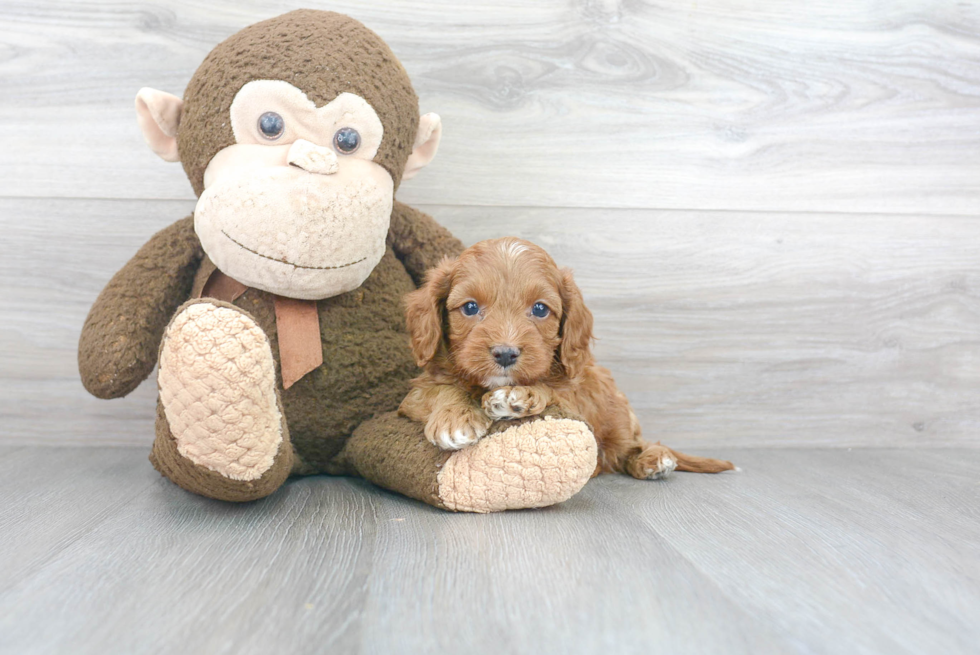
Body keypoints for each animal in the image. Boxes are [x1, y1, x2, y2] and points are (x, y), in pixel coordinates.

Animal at [398, 238, 736, 480]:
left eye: (540, 309)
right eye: (469, 307)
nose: (506, 353)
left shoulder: (577, 393)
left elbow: (553, 390)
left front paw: (519, 396)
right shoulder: (415, 393)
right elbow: (443, 389)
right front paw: (454, 418)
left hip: (617, 413)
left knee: (631, 446)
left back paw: (653, 458)